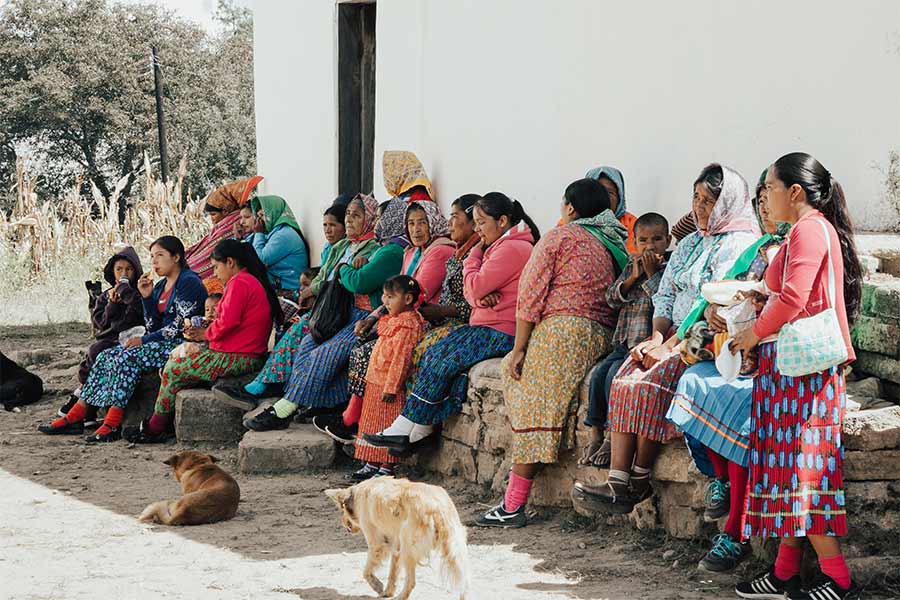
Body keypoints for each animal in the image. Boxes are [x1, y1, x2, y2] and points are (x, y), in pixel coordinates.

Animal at [326, 478, 468, 600]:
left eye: (342, 510)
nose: (343, 524)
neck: (356, 495)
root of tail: (436, 506)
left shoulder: (376, 544)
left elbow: (366, 571)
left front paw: (377, 586)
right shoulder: (395, 546)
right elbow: (392, 573)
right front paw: (388, 591)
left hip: (408, 547)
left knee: (411, 581)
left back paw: (401, 596)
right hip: (455, 549)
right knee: (464, 581)